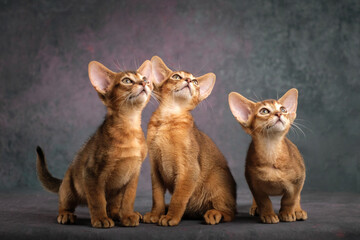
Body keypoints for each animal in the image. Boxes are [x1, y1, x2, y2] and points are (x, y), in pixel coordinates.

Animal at [36, 59, 153, 228]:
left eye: (144, 78)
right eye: (126, 80)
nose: (145, 83)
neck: (129, 128)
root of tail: (63, 180)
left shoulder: (134, 174)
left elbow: (129, 198)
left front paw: (127, 215)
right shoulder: (92, 173)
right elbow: (97, 200)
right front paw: (101, 219)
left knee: (113, 206)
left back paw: (119, 214)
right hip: (69, 187)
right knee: (65, 203)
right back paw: (66, 215)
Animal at [143, 56, 236, 227]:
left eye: (195, 81)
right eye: (176, 76)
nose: (187, 80)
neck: (168, 120)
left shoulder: (189, 169)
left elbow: (178, 198)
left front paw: (171, 217)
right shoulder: (155, 168)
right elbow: (157, 197)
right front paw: (155, 214)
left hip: (217, 178)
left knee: (229, 212)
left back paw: (214, 214)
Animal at [229, 89, 308, 224]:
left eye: (283, 109)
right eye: (264, 111)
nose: (279, 113)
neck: (272, 151)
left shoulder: (298, 180)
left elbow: (290, 199)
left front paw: (287, 213)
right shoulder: (253, 183)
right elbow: (264, 201)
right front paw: (268, 215)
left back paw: (298, 211)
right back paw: (255, 208)